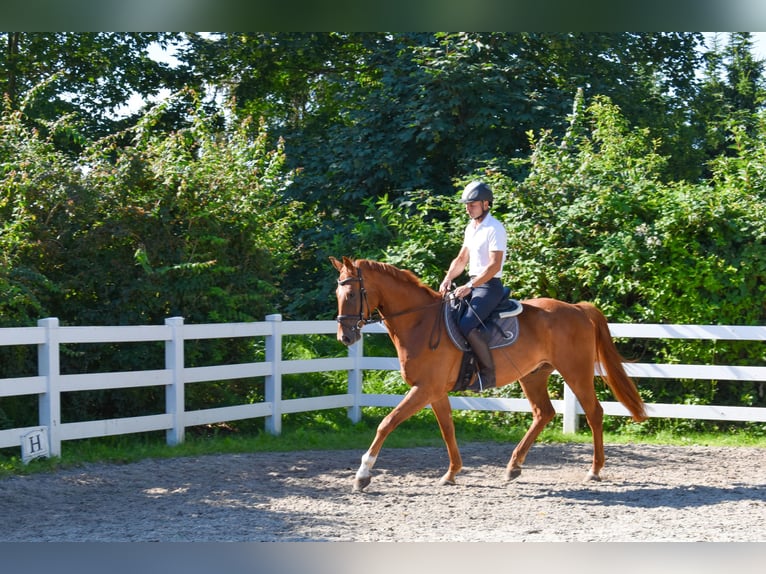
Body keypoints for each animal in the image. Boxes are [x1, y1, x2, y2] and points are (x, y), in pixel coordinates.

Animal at [331, 256, 648, 492]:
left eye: (351, 294)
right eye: (337, 294)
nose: (345, 337)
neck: (420, 321)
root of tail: (577, 309)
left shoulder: (424, 389)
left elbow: (387, 423)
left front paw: (362, 475)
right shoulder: (434, 391)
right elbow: (447, 429)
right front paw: (451, 473)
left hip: (576, 372)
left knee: (594, 413)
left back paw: (594, 470)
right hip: (533, 375)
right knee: (543, 413)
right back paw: (513, 467)